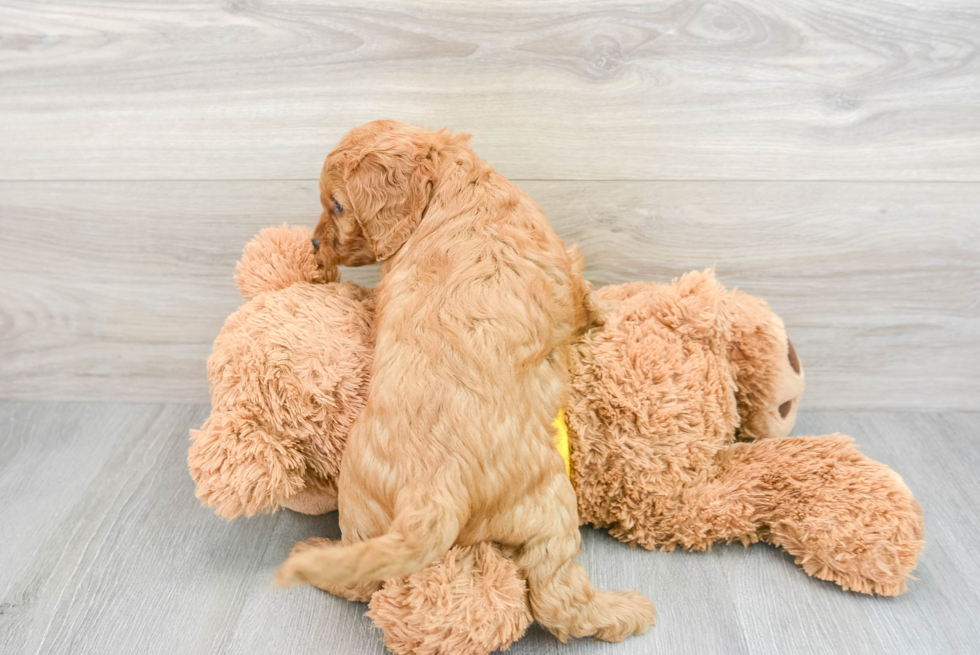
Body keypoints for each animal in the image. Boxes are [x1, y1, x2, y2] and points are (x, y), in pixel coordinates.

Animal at [276, 120, 660, 644]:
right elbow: (585, 299)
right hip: (550, 503)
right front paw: (606, 312)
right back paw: (625, 611)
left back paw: (316, 554)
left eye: (336, 205)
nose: (314, 246)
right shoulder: (563, 265)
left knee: (364, 580)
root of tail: (433, 489)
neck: (452, 188)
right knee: (557, 597)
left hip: (359, 504)